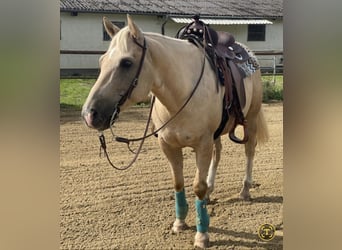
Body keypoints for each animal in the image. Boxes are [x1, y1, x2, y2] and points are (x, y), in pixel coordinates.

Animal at [81, 15, 268, 248]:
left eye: (126, 63)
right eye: (101, 61)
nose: (89, 114)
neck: (181, 94)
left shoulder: (202, 144)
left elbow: (197, 186)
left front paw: (202, 234)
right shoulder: (168, 145)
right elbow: (178, 183)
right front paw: (180, 223)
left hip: (251, 118)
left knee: (249, 151)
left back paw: (245, 190)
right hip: (216, 134)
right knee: (218, 153)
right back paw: (211, 190)